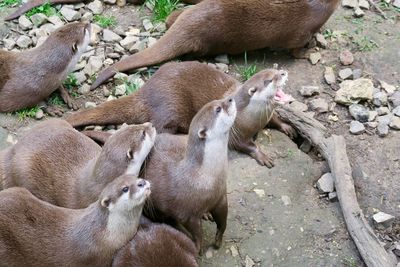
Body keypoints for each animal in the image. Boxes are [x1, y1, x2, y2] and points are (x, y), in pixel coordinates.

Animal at [65, 62, 294, 169]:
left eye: (274, 71)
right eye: (269, 80)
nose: (283, 72)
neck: (253, 119)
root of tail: (146, 92)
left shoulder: (267, 115)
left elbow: (276, 119)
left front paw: (287, 127)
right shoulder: (235, 130)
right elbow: (245, 145)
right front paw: (262, 155)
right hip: (170, 109)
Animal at [143, 97, 238, 253]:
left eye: (218, 100)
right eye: (218, 109)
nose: (230, 98)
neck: (205, 178)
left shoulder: (220, 198)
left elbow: (223, 220)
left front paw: (218, 240)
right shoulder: (188, 214)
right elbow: (196, 231)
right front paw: (197, 247)